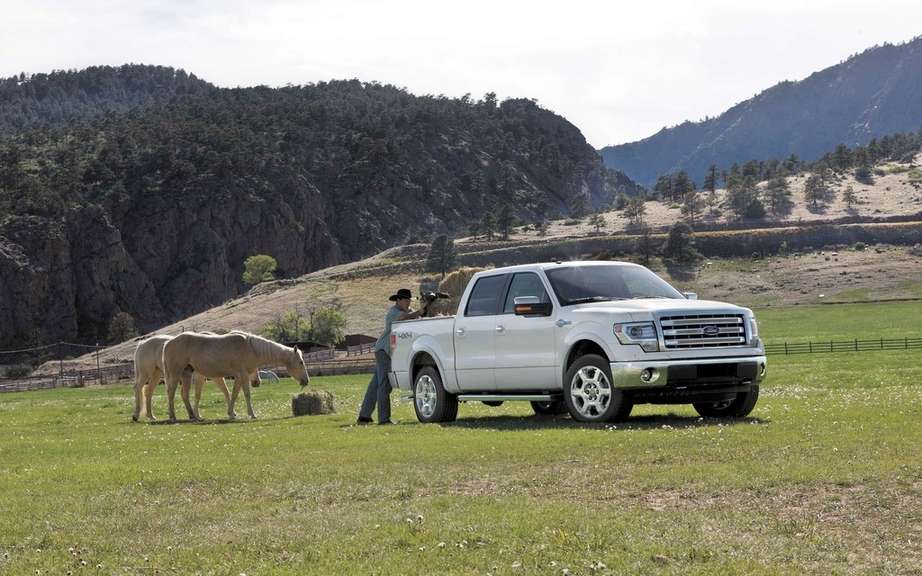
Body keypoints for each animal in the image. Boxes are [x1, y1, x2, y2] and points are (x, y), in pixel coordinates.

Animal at [162, 330, 310, 420]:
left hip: (186, 374)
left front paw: (232, 414)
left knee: (184, 394)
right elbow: (246, 394)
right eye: (301, 362)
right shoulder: (243, 375)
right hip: (175, 374)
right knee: (171, 393)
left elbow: (233, 394)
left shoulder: (239, 377)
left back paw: (193, 416)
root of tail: (168, 343)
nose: (306, 381)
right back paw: (173, 416)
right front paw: (252, 414)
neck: (251, 348)